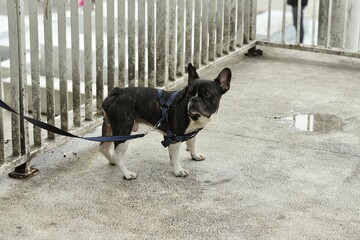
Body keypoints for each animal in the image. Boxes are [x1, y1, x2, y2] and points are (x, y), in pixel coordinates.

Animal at [100, 63, 232, 180]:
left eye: (207, 94)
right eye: (189, 94)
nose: (194, 99)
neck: (194, 118)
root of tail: (117, 92)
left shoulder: (189, 133)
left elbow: (191, 144)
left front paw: (195, 156)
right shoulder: (175, 137)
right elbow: (176, 156)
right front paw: (178, 171)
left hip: (110, 127)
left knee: (104, 147)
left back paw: (112, 161)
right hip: (123, 131)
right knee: (118, 155)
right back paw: (127, 174)